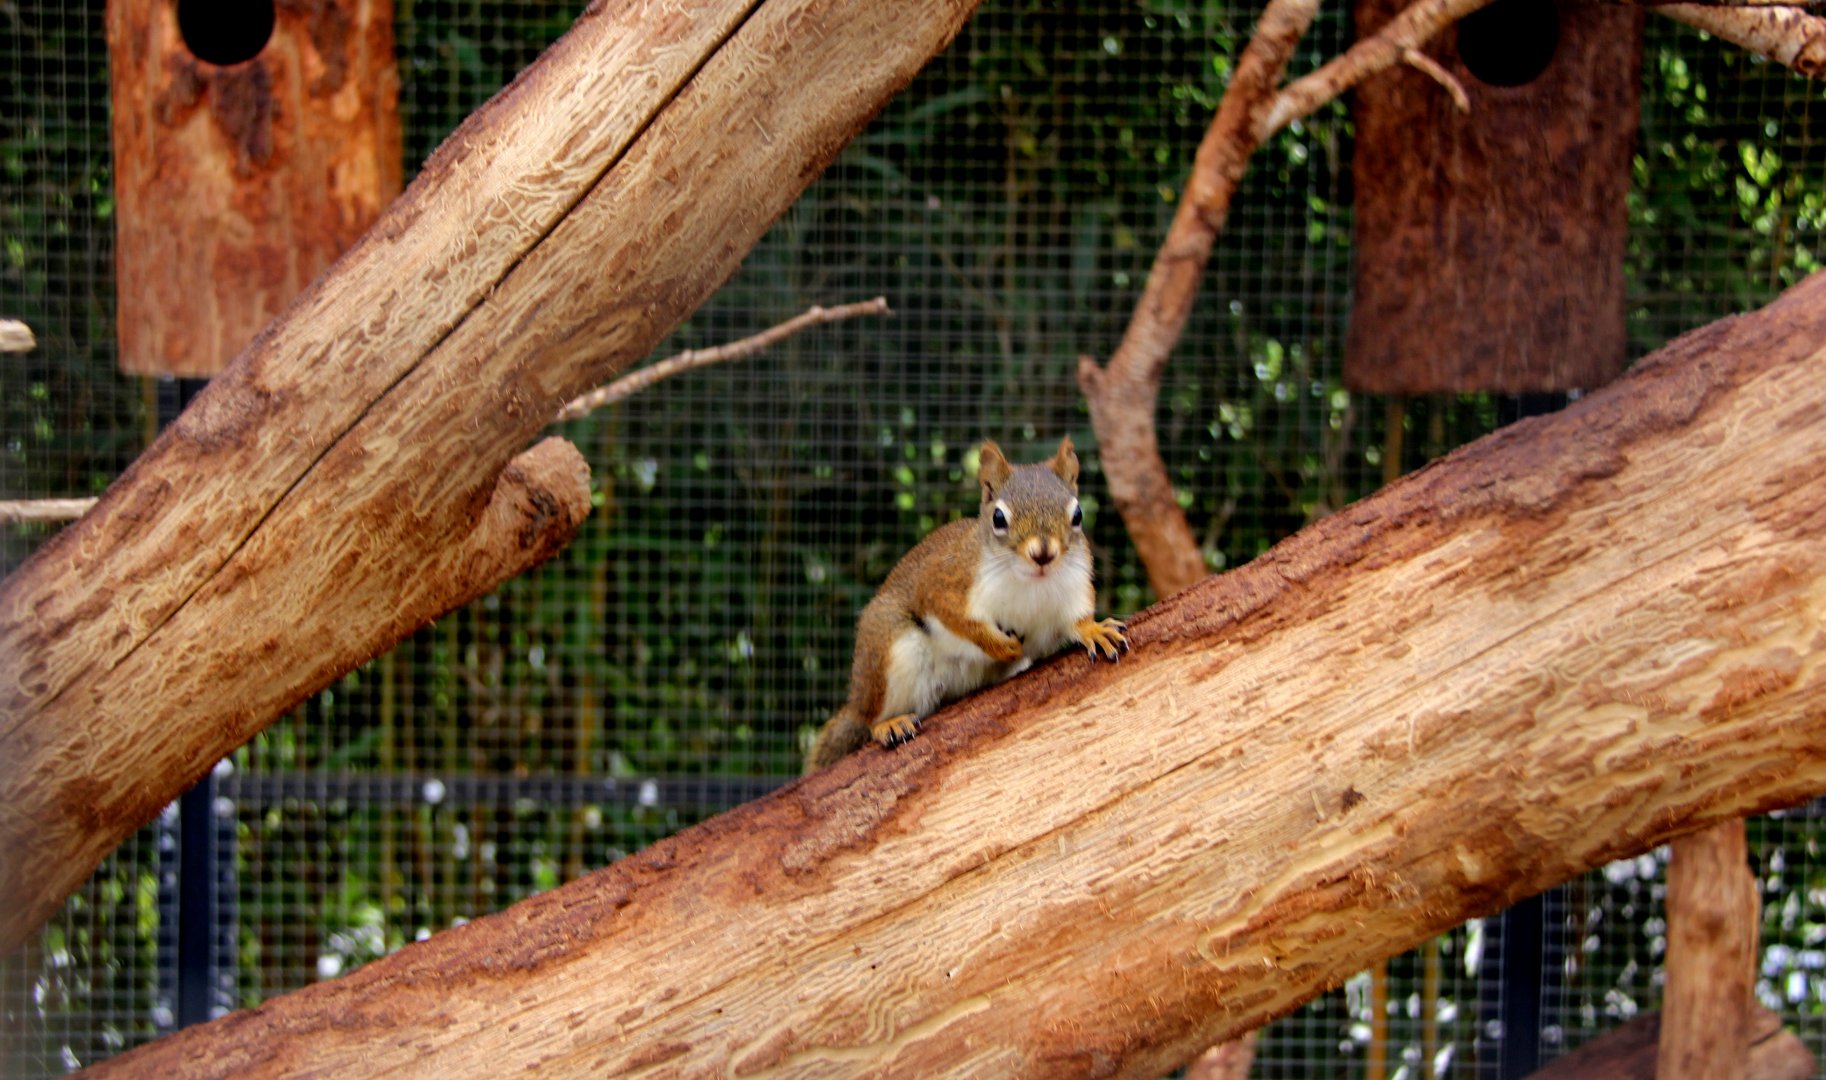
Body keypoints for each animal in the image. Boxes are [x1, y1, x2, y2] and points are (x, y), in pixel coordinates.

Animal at [805, 436, 1129, 772]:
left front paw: (1094, 630)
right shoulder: (945, 581)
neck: (1030, 582)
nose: (1043, 554)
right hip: (889, 648)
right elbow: (954, 616)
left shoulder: (1073, 588)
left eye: (1077, 515)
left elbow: (1076, 621)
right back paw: (887, 724)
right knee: (871, 720)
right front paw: (1000, 646)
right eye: (998, 518)